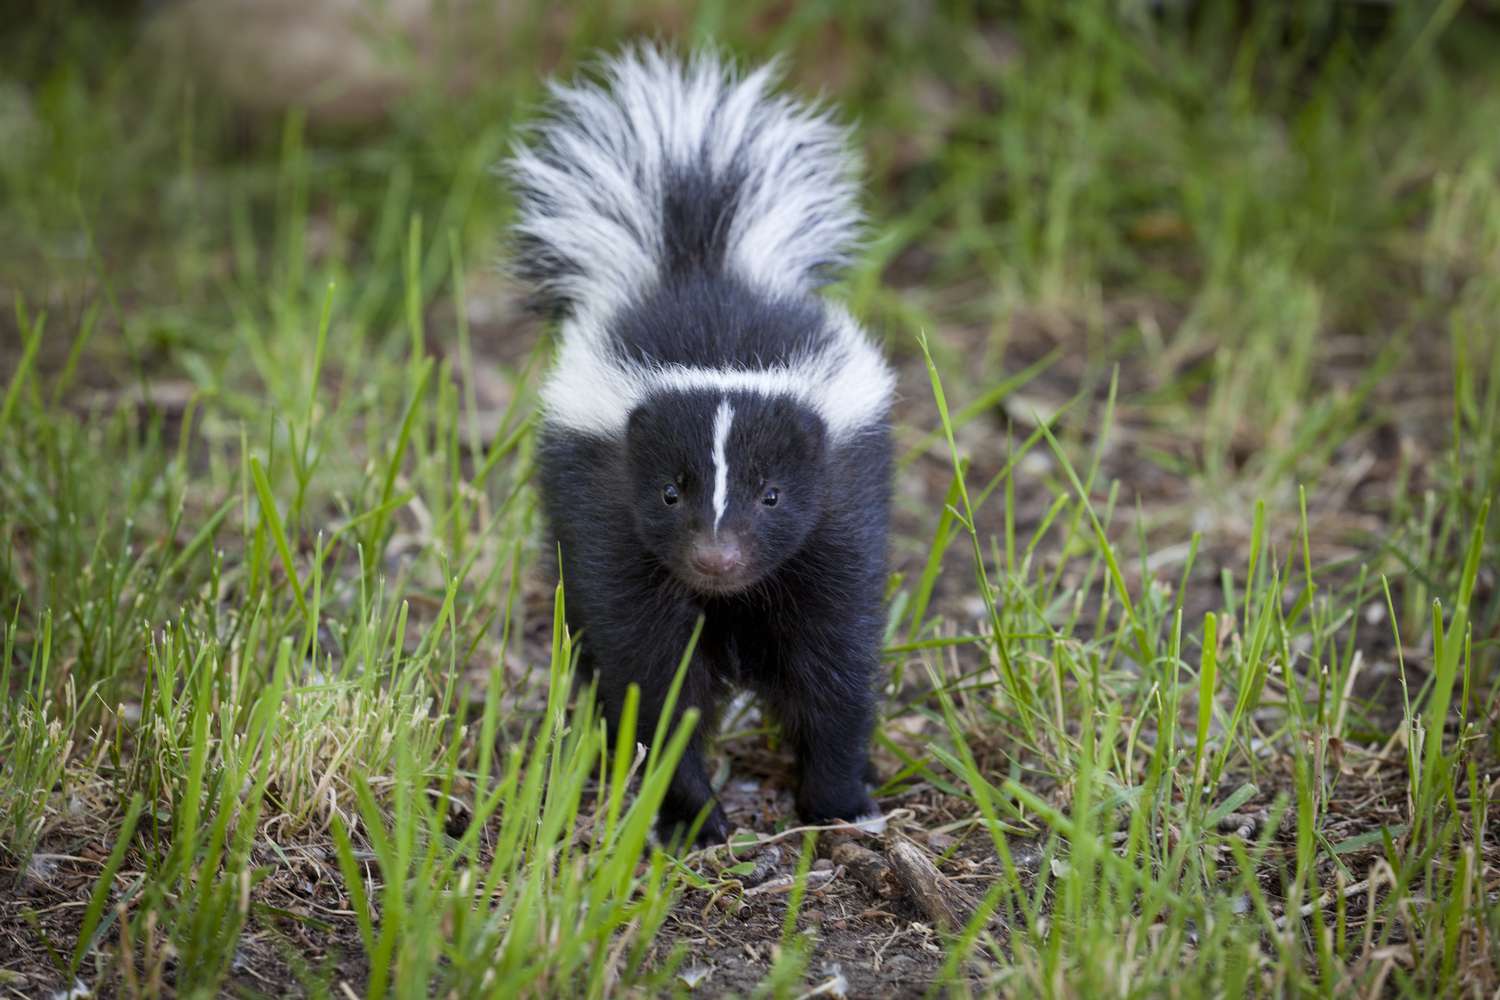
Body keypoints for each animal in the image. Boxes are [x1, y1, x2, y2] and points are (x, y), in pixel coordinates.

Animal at [510, 44, 894, 845]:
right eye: (668, 491)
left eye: (772, 493)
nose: (717, 557)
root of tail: (698, 263)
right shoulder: (612, 528)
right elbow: (652, 678)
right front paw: (690, 815)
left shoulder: (838, 524)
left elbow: (834, 663)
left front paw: (840, 799)